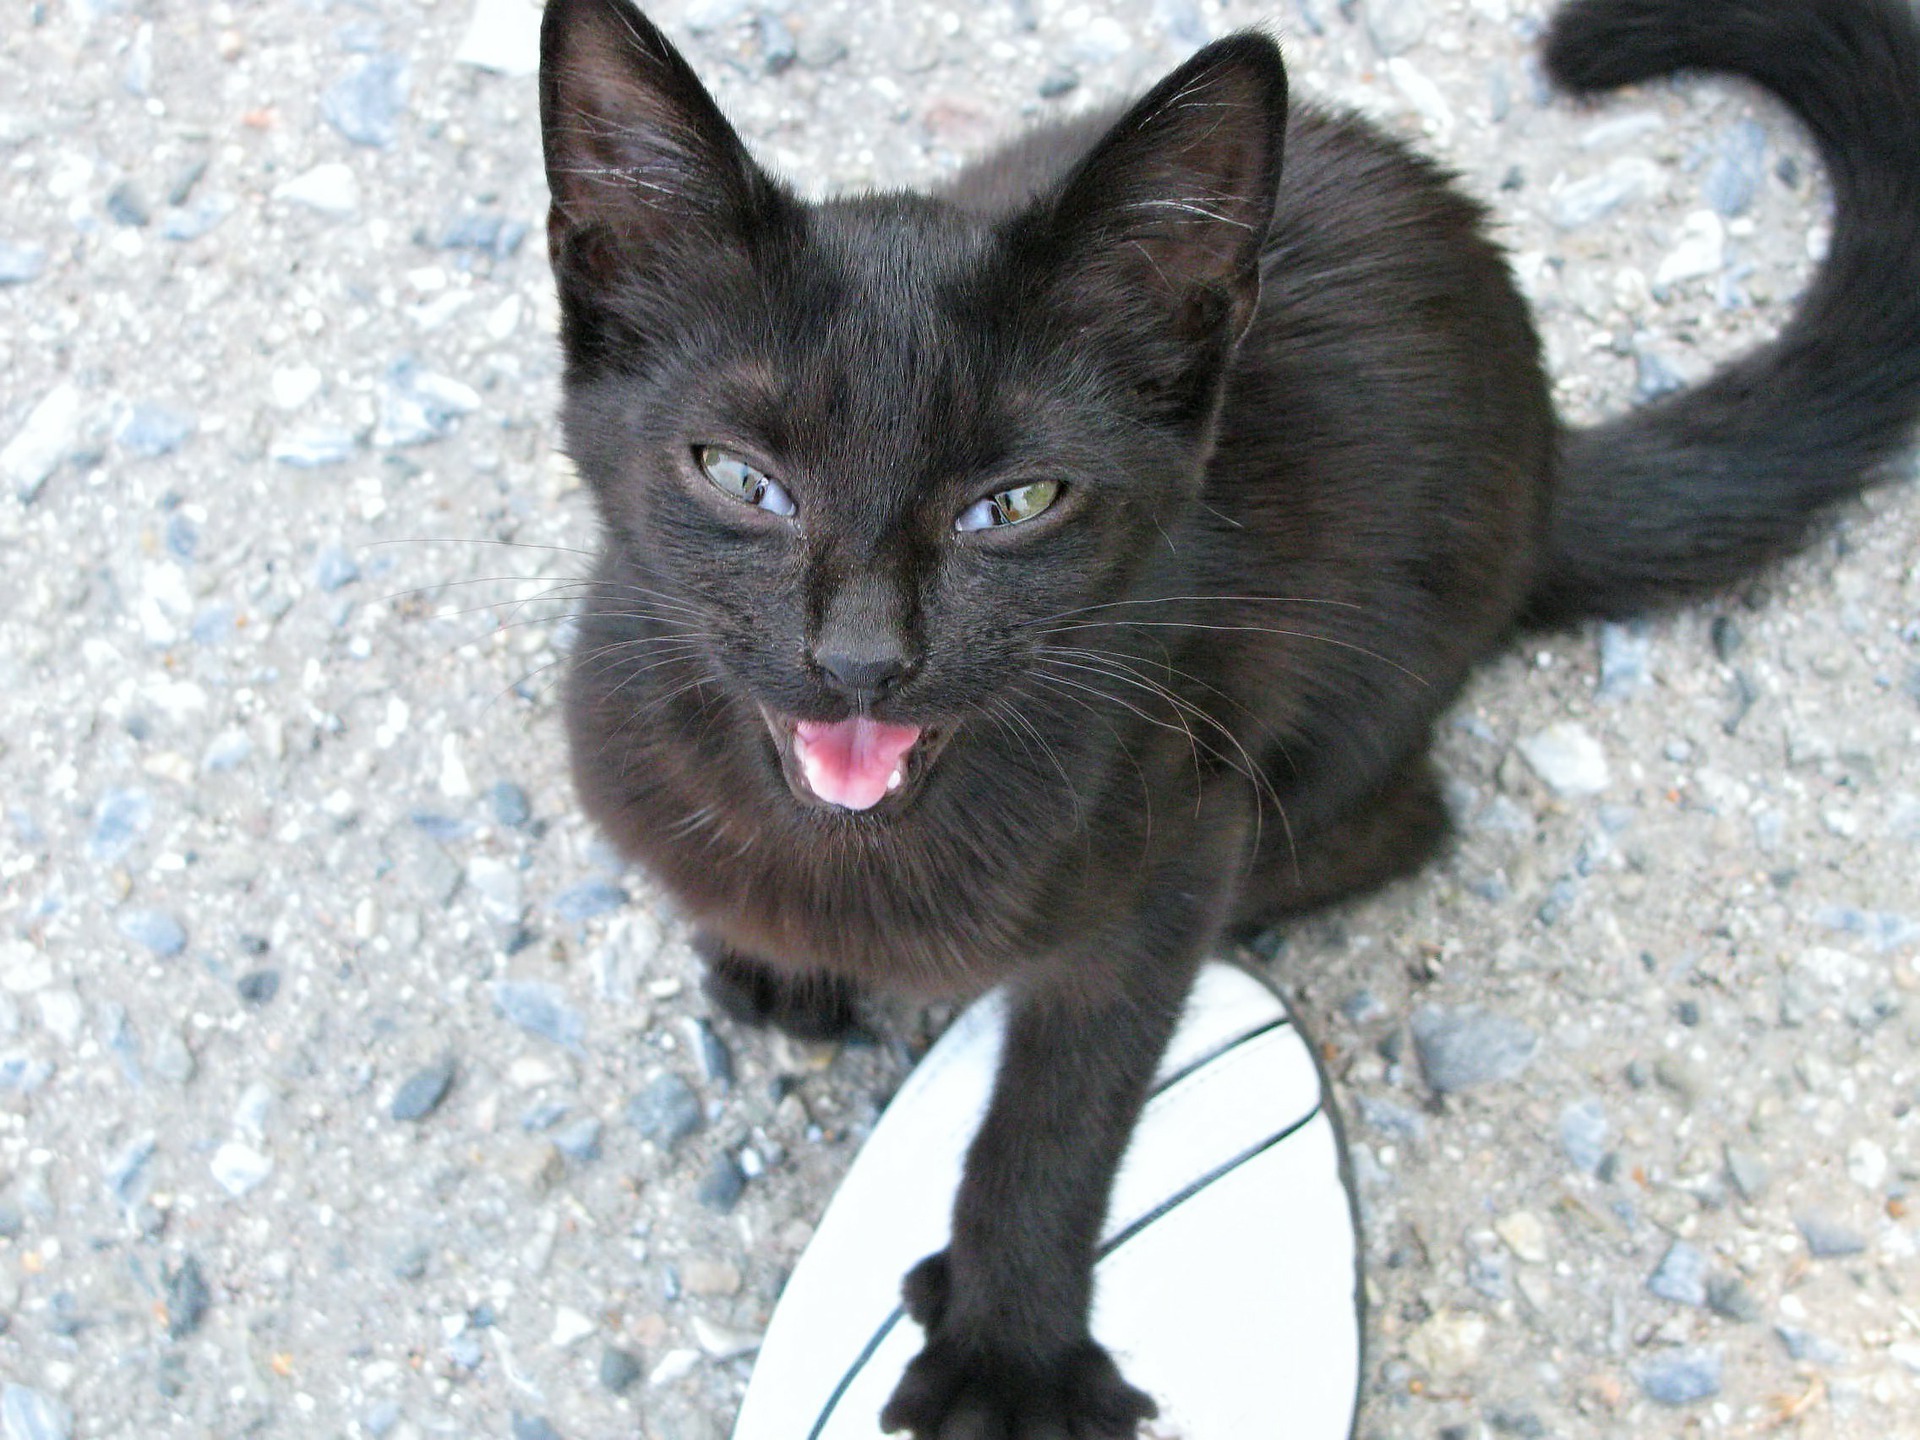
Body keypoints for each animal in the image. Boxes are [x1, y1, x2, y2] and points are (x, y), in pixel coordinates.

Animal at [537, 2, 1920, 1436]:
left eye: (1016, 505)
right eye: (740, 479)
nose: (862, 657)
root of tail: (1547, 453)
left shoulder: (1175, 833)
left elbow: (1061, 1112)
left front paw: (1007, 1358)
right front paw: (777, 961)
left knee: (1403, 822)